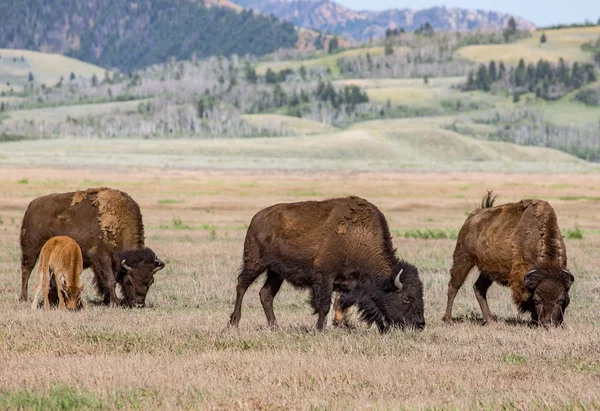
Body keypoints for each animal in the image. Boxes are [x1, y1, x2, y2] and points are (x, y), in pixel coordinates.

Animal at [19, 188, 164, 308]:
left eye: (151, 281)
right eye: (129, 281)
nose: (139, 304)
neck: (119, 224)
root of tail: (32, 205)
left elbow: (103, 281)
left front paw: (107, 301)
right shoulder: (102, 258)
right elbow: (110, 280)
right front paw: (114, 302)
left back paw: (55, 300)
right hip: (31, 250)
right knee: (26, 270)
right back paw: (24, 299)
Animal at [227, 195, 424, 334]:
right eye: (406, 298)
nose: (420, 324)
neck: (359, 238)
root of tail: (256, 218)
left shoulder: (357, 287)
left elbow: (365, 307)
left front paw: (382, 329)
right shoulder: (324, 278)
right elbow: (324, 306)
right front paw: (319, 329)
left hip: (276, 273)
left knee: (266, 294)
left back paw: (275, 327)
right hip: (255, 263)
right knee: (241, 285)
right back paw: (233, 323)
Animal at [442, 192, 576, 328]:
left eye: (561, 301)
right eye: (536, 300)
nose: (548, 324)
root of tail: (472, 217)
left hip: (487, 270)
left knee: (479, 288)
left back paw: (490, 319)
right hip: (463, 259)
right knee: (453, 286)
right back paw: (448, 319)